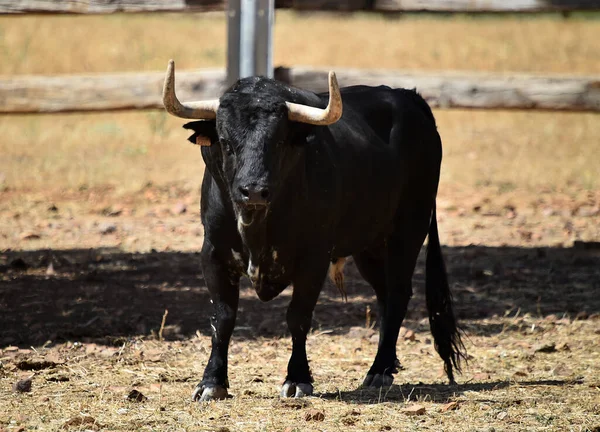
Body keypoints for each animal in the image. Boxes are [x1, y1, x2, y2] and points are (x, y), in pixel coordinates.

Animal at [162, 61, 466, 402]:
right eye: (226, 142)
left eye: (279, 141)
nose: (253, 191)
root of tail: (406, 96)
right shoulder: (213, 253)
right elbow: (223, 317)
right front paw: (212, 382)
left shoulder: (314, 258)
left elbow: (298, 316)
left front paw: (297, 378)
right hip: (370, 245)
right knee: (385, 295)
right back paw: (383, 364)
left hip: (409, 228)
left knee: (399, 293)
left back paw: (379, 370)